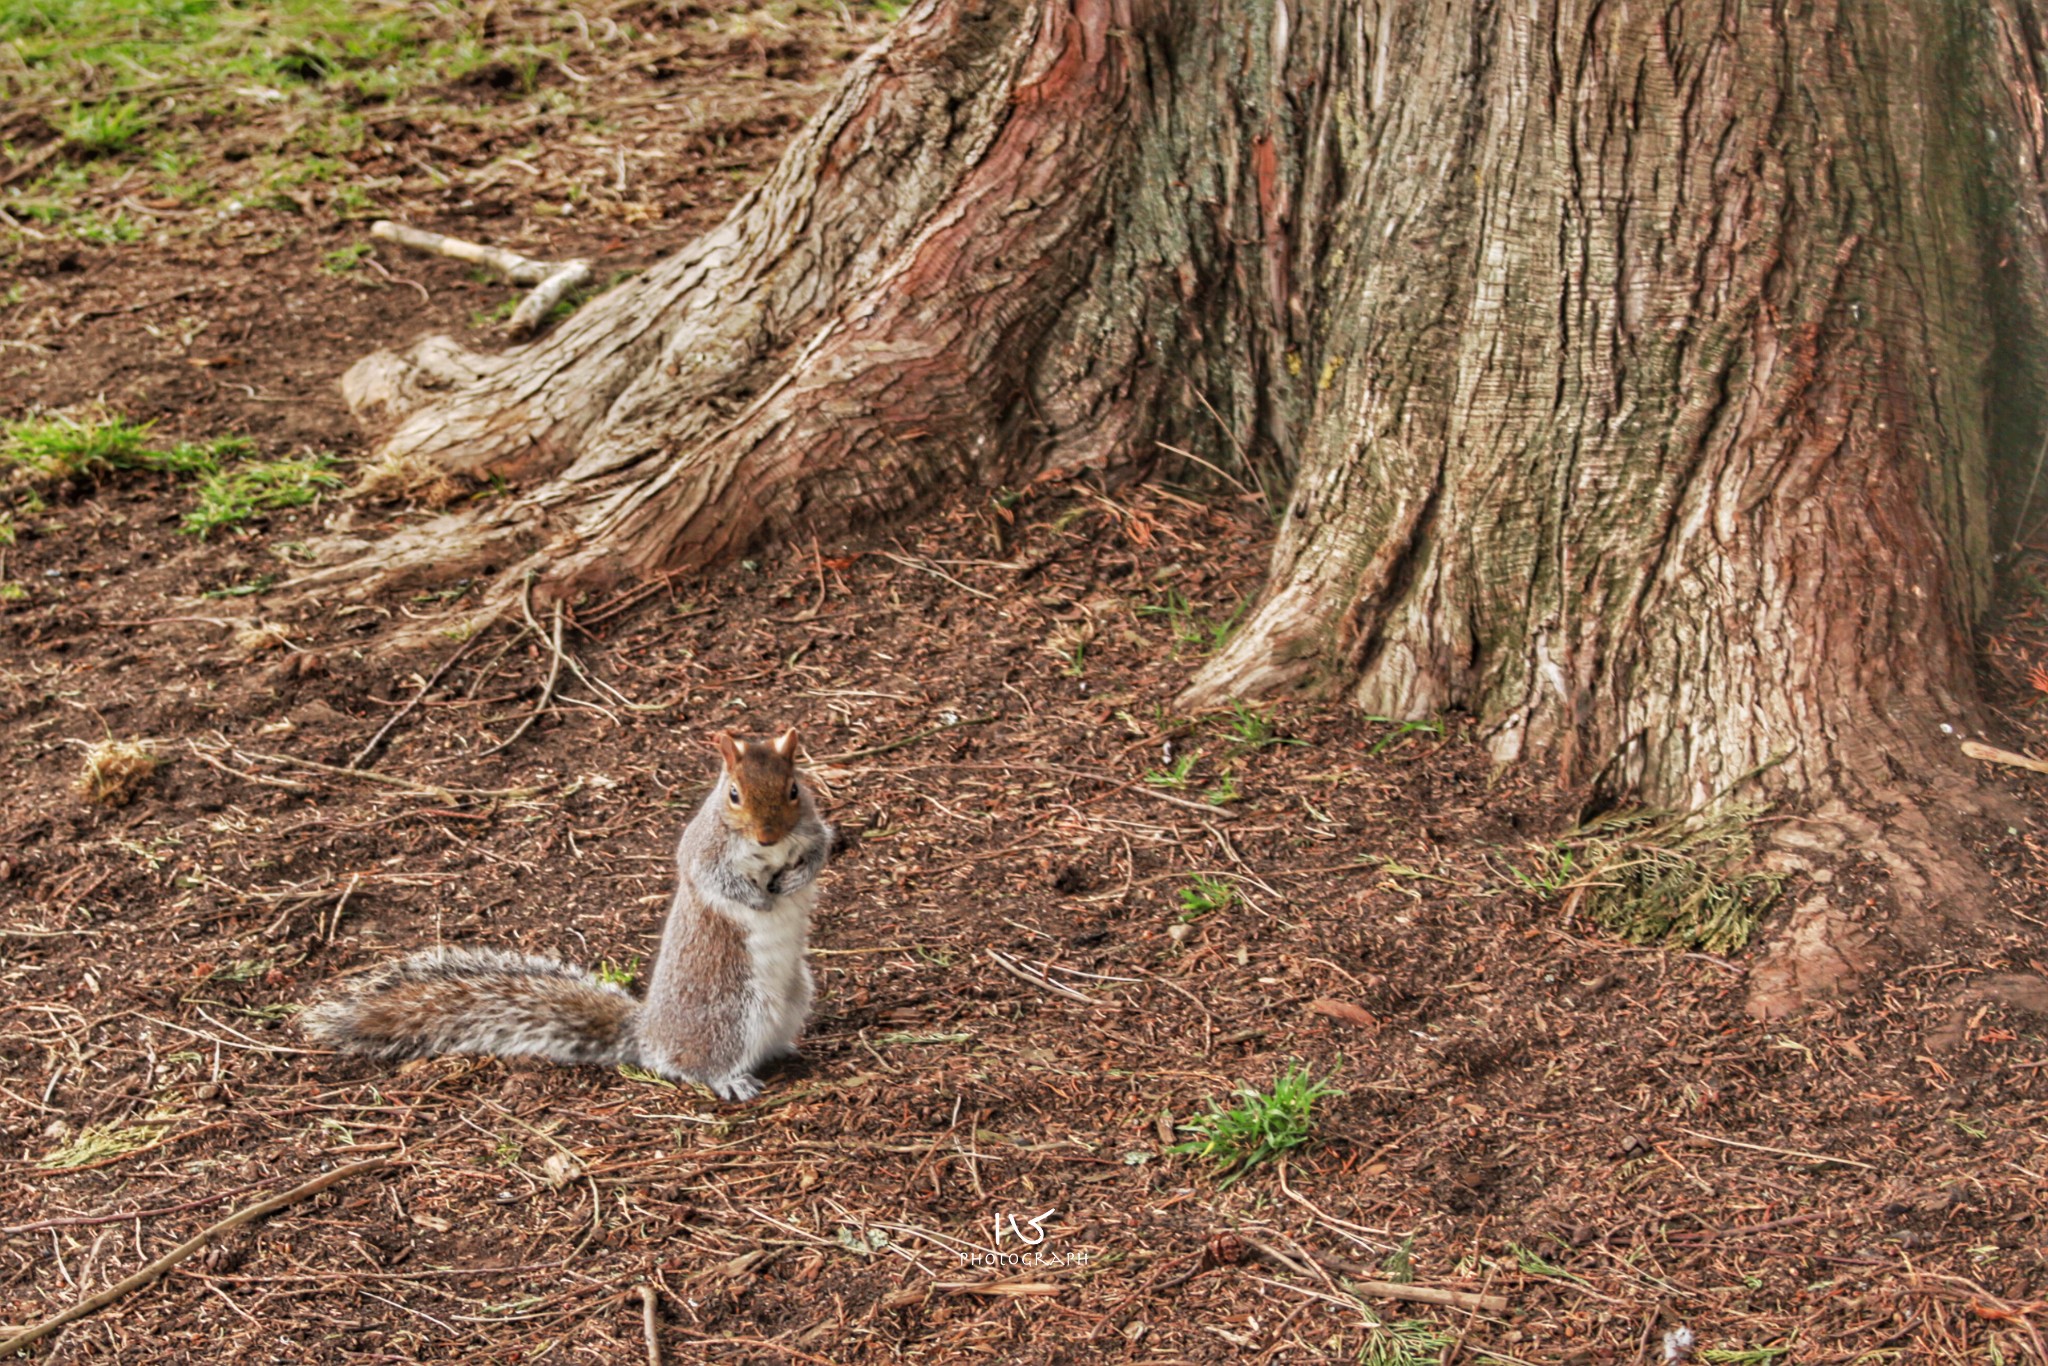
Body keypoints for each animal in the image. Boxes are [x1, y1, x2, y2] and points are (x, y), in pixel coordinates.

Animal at [294, 724, 831, 1097]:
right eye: (733, 794)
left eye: (794, 789)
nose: (768, 836)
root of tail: (650, 1034)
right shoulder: (704, 853)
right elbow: (717, 882)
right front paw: (759, 898)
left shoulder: (813, 831)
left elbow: (820, 853)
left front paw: (795, 879)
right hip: (730, 1014)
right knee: (694, 1065)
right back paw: (729, 1079)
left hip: (797, 994)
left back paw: (788, 1048)